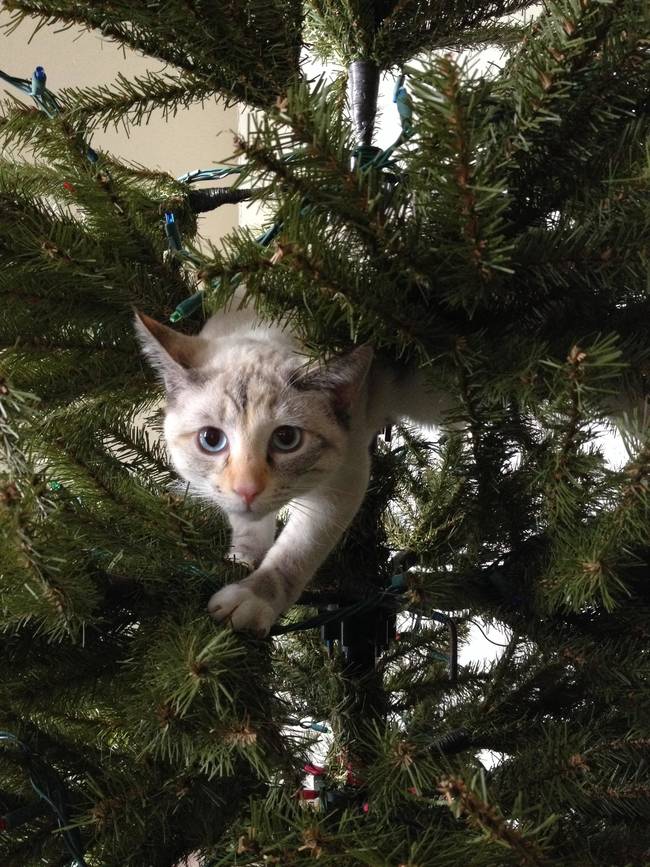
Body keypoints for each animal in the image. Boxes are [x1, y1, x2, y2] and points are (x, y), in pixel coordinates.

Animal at [135, 298, 450, 636]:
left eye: (286, 439)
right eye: (211, 439)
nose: (247, 489)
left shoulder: (343, 478)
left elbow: (294, 553)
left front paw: (251, 598)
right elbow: (247, 525)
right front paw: (240, 560)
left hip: (427, 398)